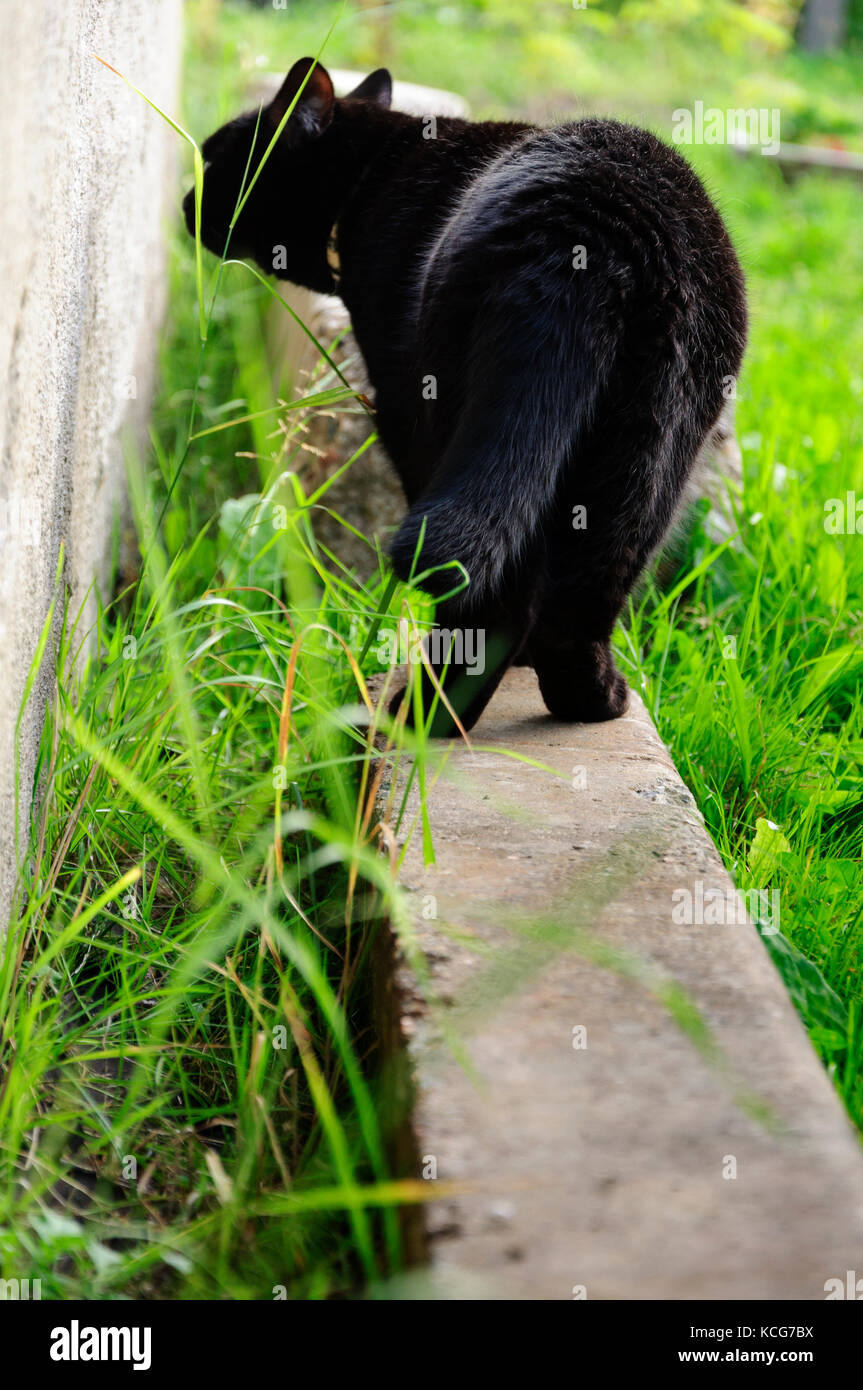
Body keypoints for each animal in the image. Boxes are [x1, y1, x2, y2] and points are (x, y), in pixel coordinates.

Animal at [184, 58, 744, 739]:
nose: (183, 201)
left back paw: (430, 715)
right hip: (649, 455)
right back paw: (591, 702)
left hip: (453, 407)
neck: (372, 177)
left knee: (488, 595)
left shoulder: (398, 406)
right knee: (581, 599)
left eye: (213, 158)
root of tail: (590, 236)